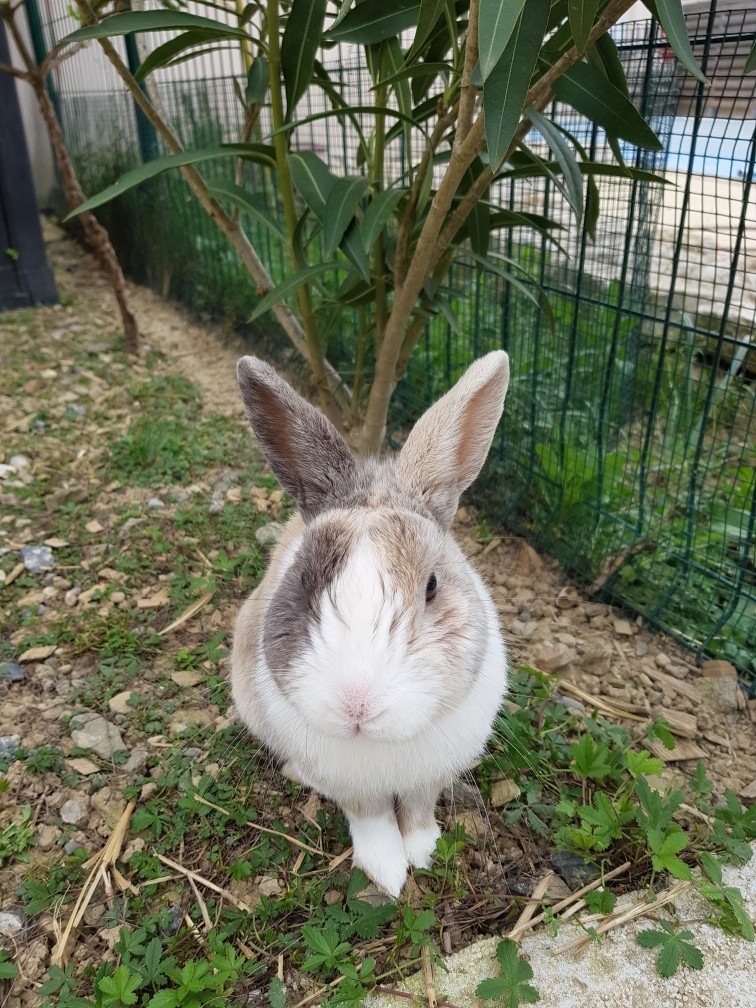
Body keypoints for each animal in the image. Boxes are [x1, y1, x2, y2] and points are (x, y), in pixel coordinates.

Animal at [231, 351, 510, 897]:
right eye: (302, 582)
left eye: (431, 585)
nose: (356, 703)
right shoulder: (355, 790)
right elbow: (374, 822)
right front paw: (387, 873)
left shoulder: (428, 779)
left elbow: (419, 812)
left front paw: (424, 851)